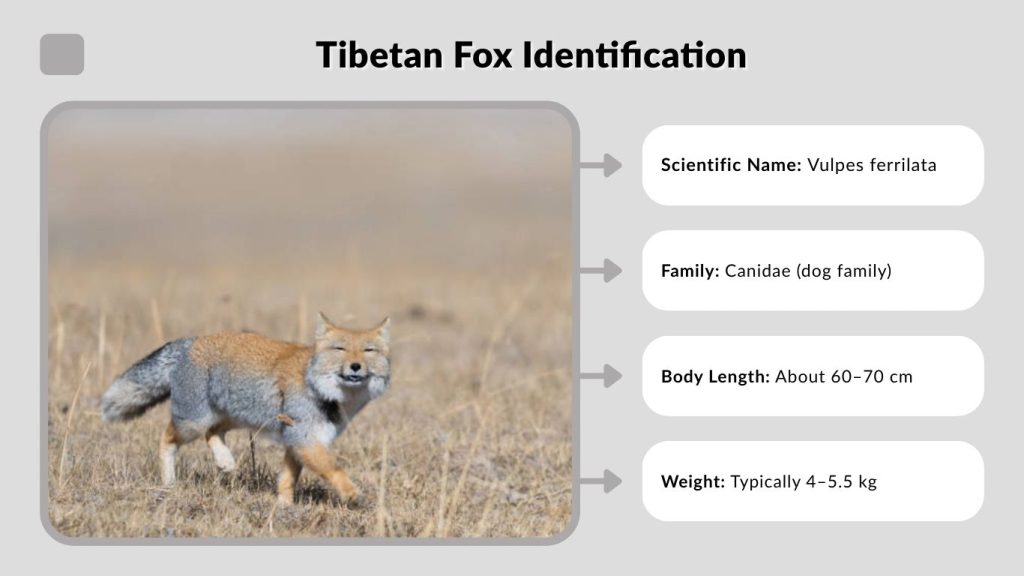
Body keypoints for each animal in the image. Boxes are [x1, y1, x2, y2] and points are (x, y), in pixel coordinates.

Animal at [100, 312, 390, 506]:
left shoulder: (296, 441)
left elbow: (287, 479)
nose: (355, 366)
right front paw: (353, 495)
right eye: (339, 348)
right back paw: (169, 483)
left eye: (368, 350)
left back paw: (225, 461)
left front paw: (284, 508)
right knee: (166, 439)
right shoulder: (304, 439)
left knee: (213, 433)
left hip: (235, 417)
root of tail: (193, 340)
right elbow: (334, 470)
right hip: (192, 422)